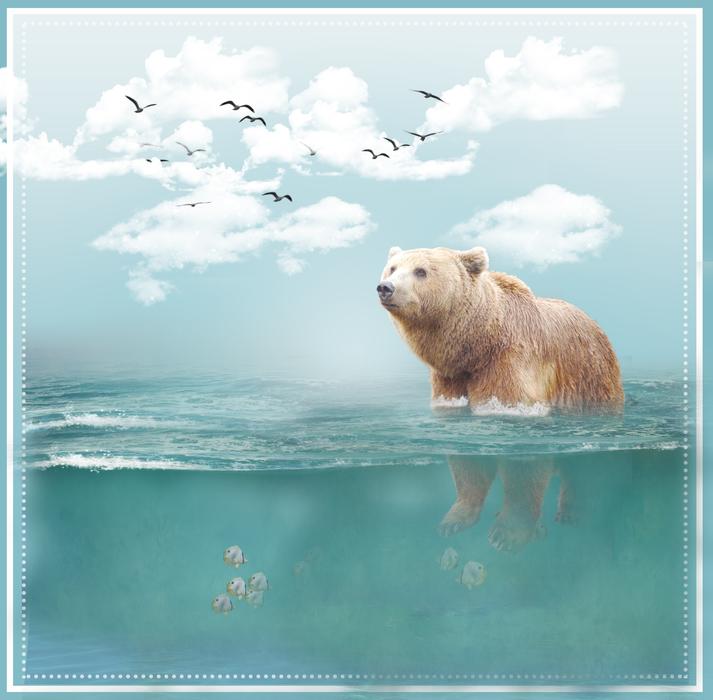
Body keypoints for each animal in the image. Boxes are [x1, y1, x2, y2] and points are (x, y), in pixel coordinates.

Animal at [376, 245, 624, 544]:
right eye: (392, 268)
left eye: (421, 271)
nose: (386, 287)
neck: (477, 345)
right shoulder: (450, 379)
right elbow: (466, 466)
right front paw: (454, 521)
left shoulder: (509, 362)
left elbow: (521, 465)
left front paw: (506, 533)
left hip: (590, 375)